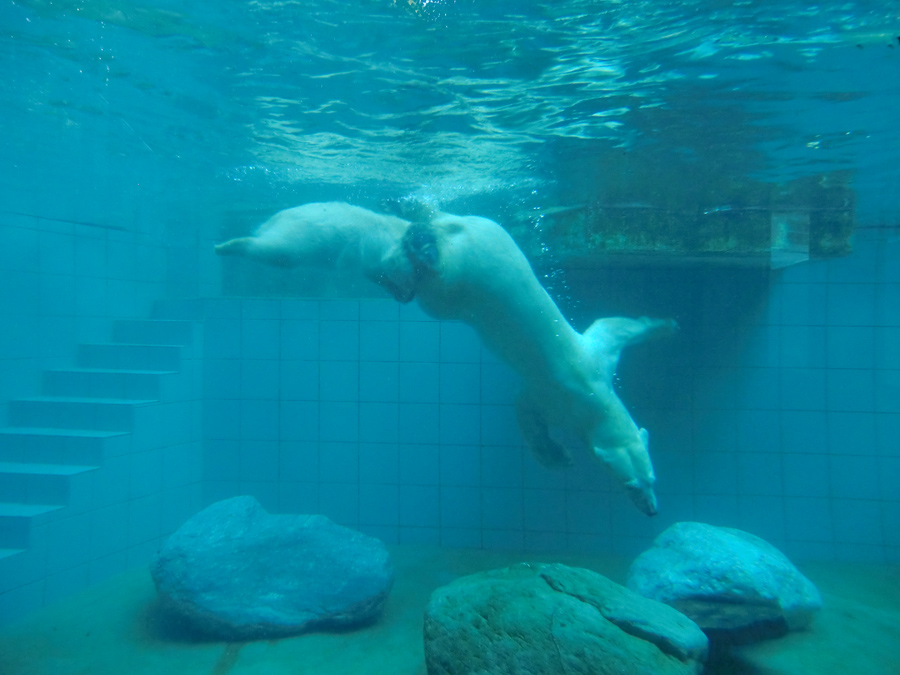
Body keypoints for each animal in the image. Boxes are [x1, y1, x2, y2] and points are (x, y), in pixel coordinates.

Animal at [216, 203, 676, 516]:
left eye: (653, 478)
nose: (653, 509)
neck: (591, 393)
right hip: (462, 281)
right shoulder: (554, 391)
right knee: (428, 267)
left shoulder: (598, 360)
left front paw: (663, 323)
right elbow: (524, 409)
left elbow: (610, 327)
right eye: (630, 484)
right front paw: (555, 455)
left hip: (477, 235)